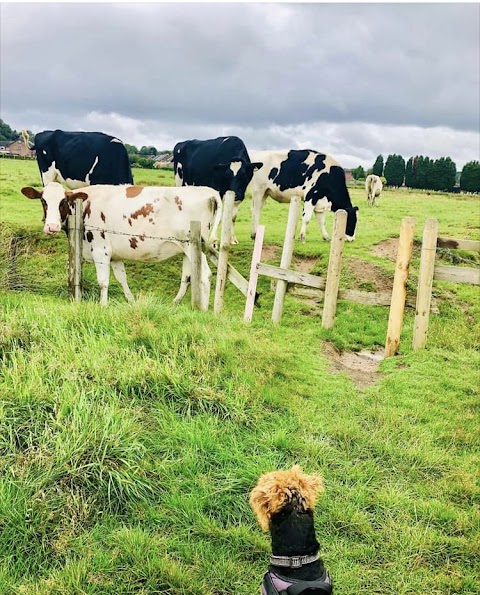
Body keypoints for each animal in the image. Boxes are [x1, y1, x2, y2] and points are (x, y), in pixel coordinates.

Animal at [18, 182, 221, 310]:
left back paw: (203, 310)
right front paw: (131, 301)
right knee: (188, 277)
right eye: (43, 201)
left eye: (63, 202)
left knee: (205, 276)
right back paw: (177, 303)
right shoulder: (115, 255)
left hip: (194, 245)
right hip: (188, 249)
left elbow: (103, 281)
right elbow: (122, 278)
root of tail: (209, 191)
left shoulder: (101, 250)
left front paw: (102, 306)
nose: (51, 227)